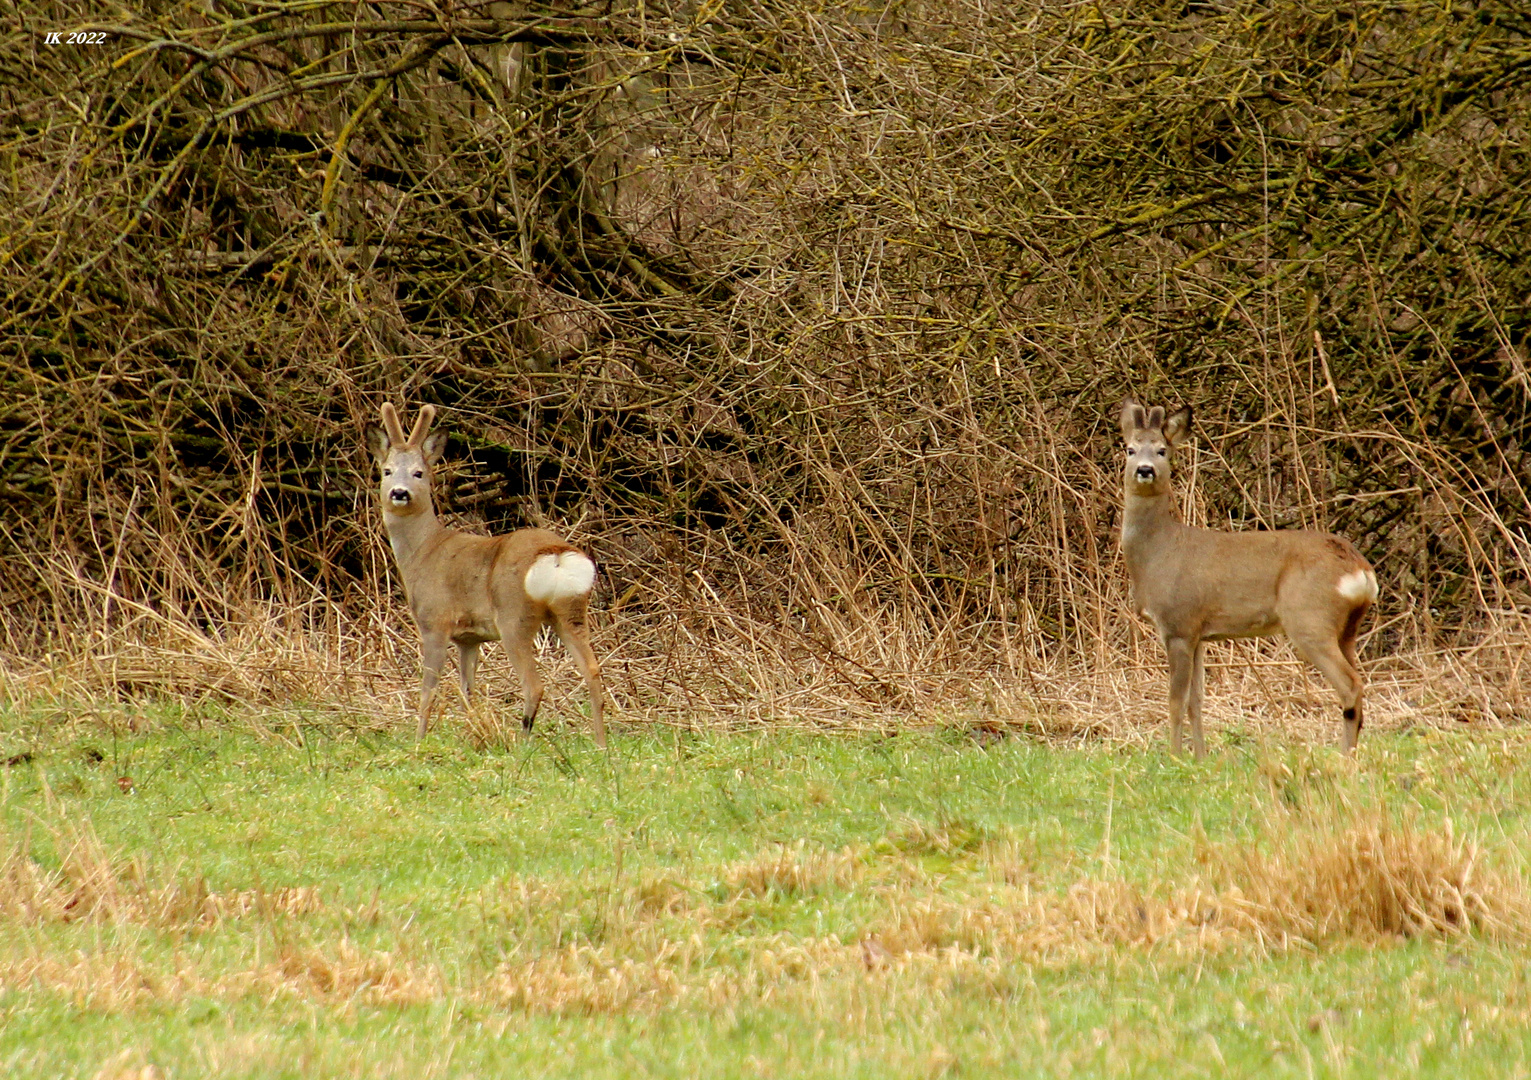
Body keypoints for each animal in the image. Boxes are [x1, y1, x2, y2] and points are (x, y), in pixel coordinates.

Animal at [370, 401, 609, 744]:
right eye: (386, 471)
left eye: (419, 472)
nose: (399, 493)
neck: (424, 551)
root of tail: (556, 554)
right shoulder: (469, 638)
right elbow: (467, 691)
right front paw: (474, 733)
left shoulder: (435, 620)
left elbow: (428, 690)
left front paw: (418, 740)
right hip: (570, 610)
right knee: (592, 671)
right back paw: (601, 745)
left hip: (514, 615)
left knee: (534, 685)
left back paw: (523, 744)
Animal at [1120, 401, 1384, 753]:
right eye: (1130, 449)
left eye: (1162, 450)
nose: (1145, 469)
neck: (1158, 552)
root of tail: (1360, 568)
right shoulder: (1198, 633)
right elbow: (1196, 700)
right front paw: (1200, 757)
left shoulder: (1178, 624)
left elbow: (1175, 702)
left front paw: (1174, 756)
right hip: (1348, 629)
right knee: (1358, 683)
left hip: (1309, 618)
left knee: (1351, 685)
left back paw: (1344, 757)